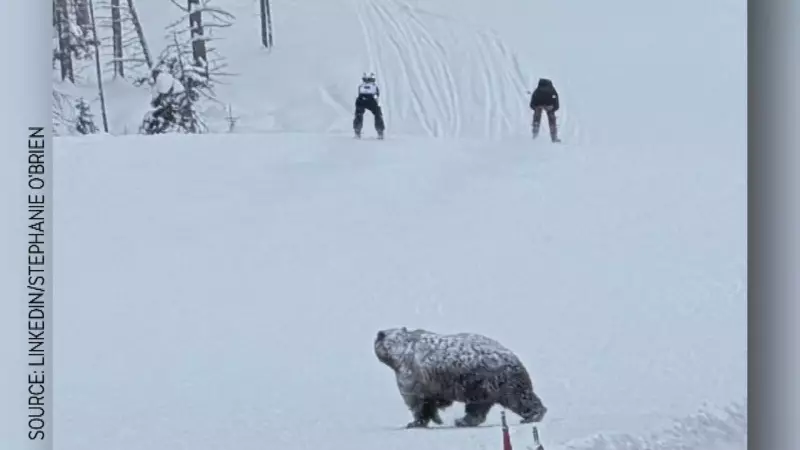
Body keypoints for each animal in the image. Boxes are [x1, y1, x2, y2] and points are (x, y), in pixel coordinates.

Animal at [374, 327, 547, 428]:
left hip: (488, 380)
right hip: (483, 385)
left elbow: (417, 401)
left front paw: (416, 422)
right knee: (481, 407)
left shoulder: (411, 376)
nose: (377, 335)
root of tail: (514, 359)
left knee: (517, 399)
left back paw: (532, 415)